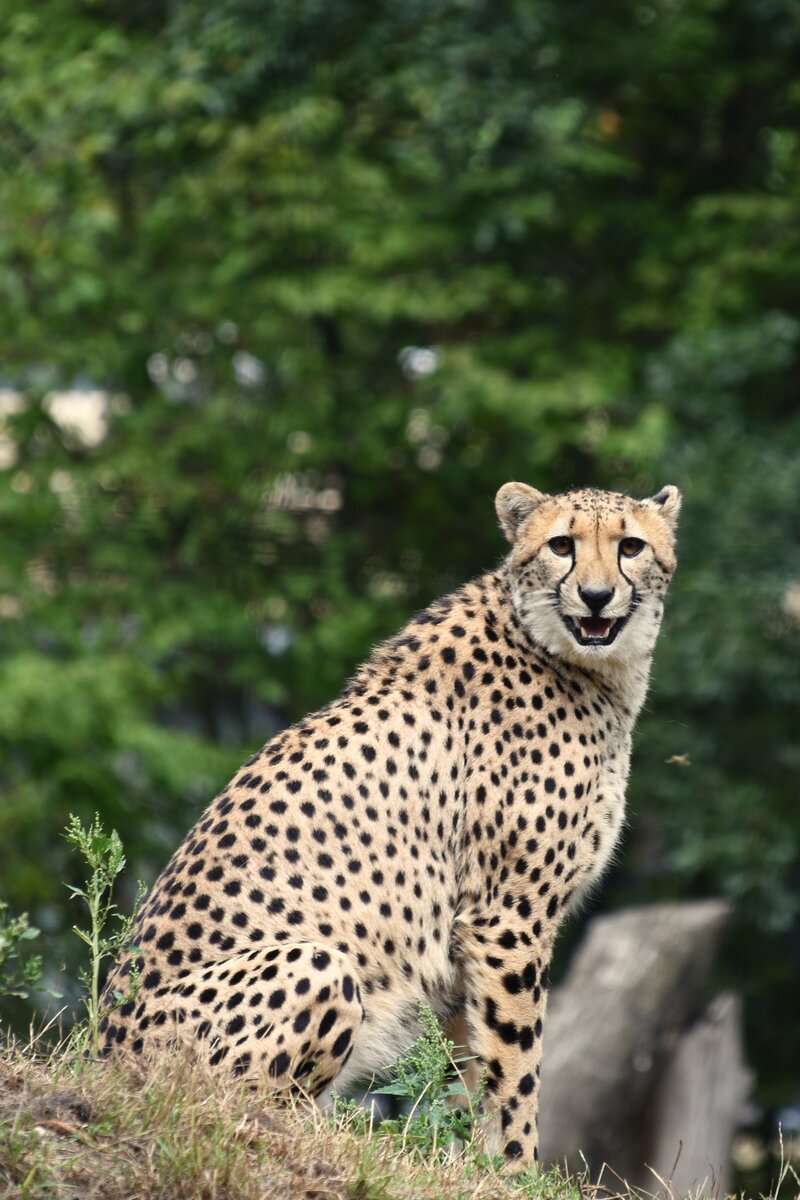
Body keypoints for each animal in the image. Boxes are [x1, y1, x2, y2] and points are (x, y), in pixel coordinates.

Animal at [100, 482, 681, 1166]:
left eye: (631, 546)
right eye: (561, 545)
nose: (595, 595)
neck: (573, 658)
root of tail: (100, 1054)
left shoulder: (466, 940)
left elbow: (471, 1066)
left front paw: (467, 1162)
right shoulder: (507, 918)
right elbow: (517, 1064)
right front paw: (516, 1168)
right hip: (315, 963)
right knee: (240, 1106)